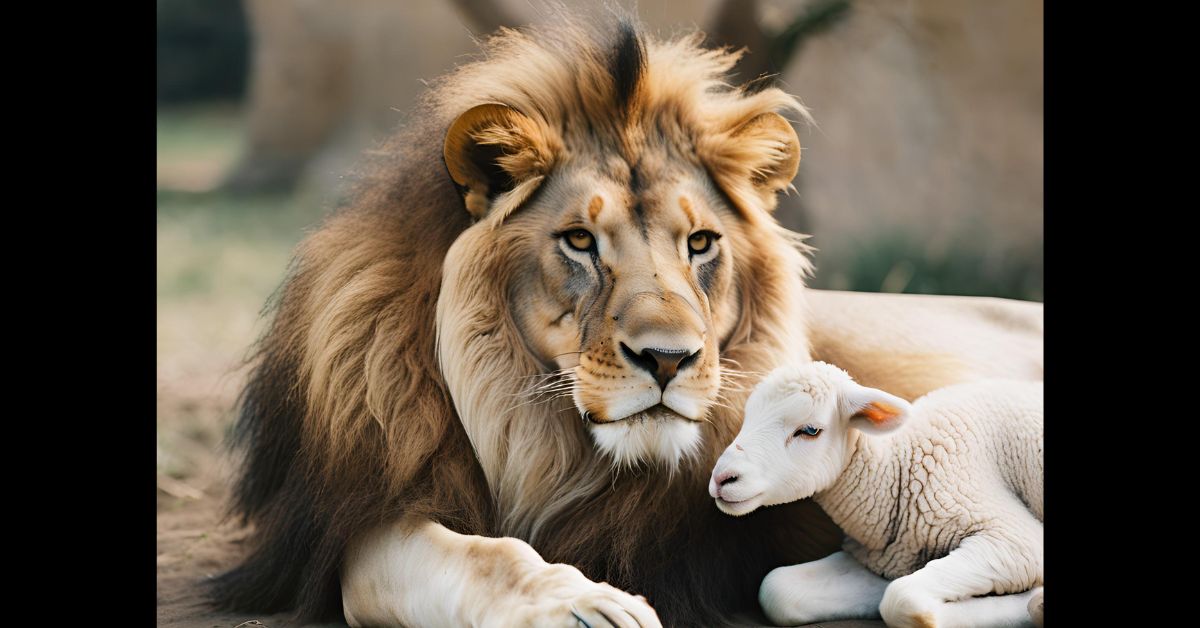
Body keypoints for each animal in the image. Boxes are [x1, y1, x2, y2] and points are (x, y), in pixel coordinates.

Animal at [710, 362, 1041, 628]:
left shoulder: (1014, 539)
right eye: (748, 416)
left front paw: (1030, 602)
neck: (898, 466)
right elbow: (777, 590)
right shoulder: (880, 557)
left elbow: (902, 600)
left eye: (810, 430)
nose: (722, 478)